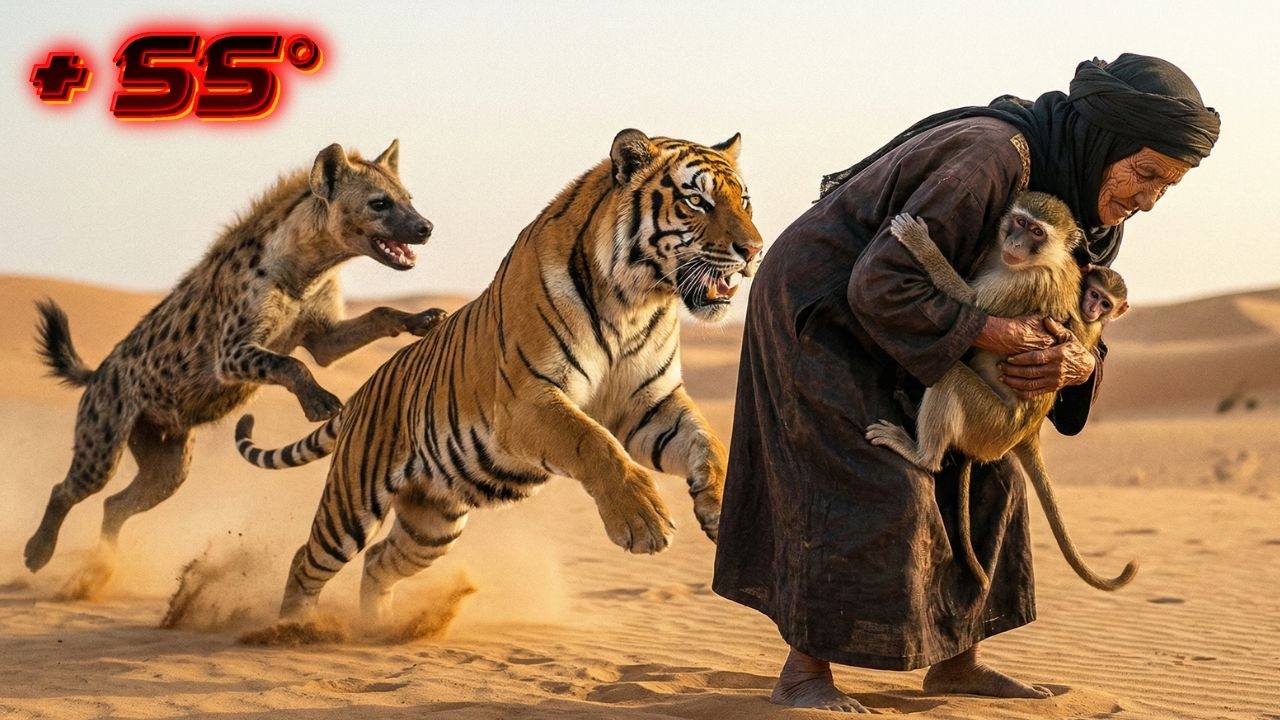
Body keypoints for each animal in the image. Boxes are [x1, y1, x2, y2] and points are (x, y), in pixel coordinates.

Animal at [865, 191, 1138, 592]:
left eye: (1037, 232)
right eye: (1020, 223)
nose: (1015, 244)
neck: (1043, 260)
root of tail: (1028, 431)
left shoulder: (1026, 284)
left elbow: (972, 309)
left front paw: (921, 245)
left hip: (992, 424)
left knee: (949, 378)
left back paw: (921, 455)